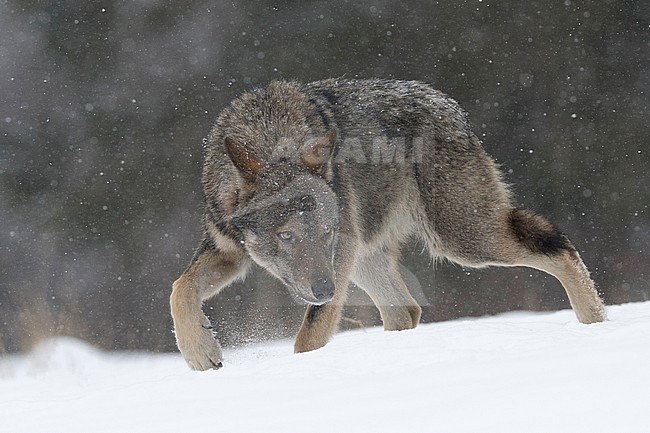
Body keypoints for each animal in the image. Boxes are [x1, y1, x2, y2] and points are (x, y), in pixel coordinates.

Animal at [170, 79, 607, 370]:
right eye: (287, 236)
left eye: (325, 232)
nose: (325, 290)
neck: (272, 133)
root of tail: (452, 107)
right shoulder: (228, 251)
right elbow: (180, 290)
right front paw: (201, 353)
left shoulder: (338, 258)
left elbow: (309, 338)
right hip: (369, 260)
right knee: (407, 312)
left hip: (459, 240)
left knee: (557, 244)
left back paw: (597, 326)